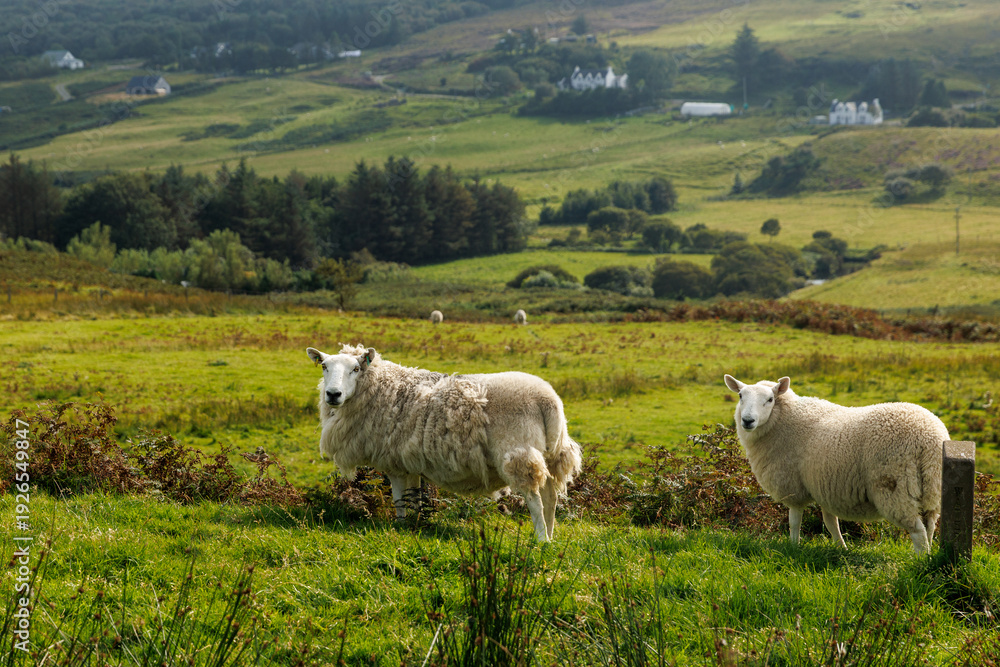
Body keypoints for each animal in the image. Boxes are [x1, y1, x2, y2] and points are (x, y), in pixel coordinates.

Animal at [307, 344, 583, 541]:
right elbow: (415, 499)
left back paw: (540, 540)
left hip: (519, 452)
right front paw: (416, 526)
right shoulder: (410, 463)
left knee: (535, 499)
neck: (382, 387)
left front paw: (400, 526)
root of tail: (548, 400)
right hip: (551, 453)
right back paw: (550, 536)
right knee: (550, 497)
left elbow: (399, 500)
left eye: (355, 369)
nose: (333, 394)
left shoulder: (394, 464)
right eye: (324, 367)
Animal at [723, 374, 947, 554]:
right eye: (740, 396)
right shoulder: (824, 485)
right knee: (929, 527)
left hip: (895, 488)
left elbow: (794, 521)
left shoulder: (793, 487)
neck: (782, 420)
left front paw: (794, 546)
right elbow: (831, 523)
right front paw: (842, 548)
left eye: (770, 399)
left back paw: (920, 561)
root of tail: (929, 439)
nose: (748, 420)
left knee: (917, 532)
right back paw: (928, 556)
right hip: (931, 489)